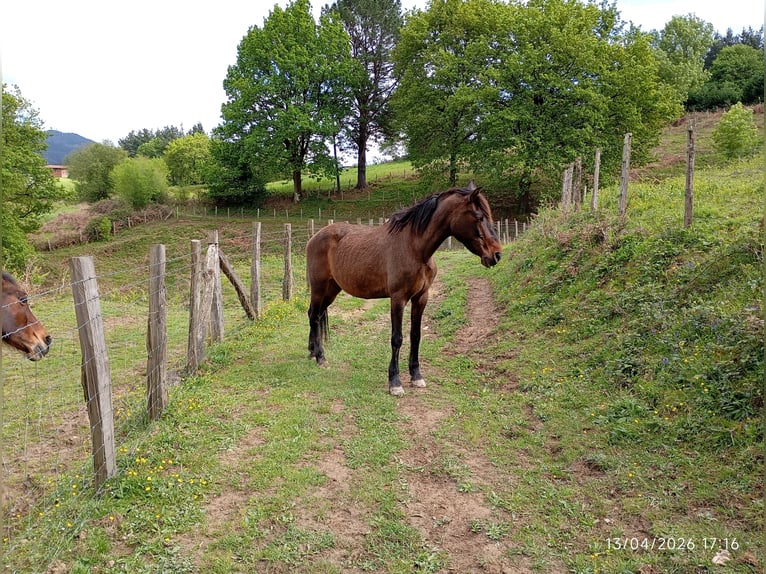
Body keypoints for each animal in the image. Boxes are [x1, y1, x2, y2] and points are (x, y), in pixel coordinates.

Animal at [306, 181, 502, 395]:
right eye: (478, 217)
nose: (496, 254)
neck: (414, 248)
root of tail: (314, 237)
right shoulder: (398, 298)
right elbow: (397, 338)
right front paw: (395, 382)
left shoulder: (421, 297)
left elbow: (415, 336)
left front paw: (416, 376)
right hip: (319, 288)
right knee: (314, 316)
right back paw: (321, 357)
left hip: (332, 290)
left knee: (314, 315)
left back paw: (312, 352)